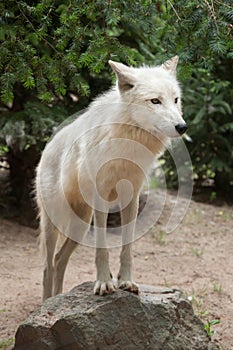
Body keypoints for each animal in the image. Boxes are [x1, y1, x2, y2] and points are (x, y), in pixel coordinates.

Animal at [36, 56, 186, 300]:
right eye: (155, 101)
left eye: (175, 100)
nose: (182, 127)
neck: (128, 143)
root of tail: (47, 146)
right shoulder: (101, 198)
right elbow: (102, 248)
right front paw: (104, 283)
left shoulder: (132, 199)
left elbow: (127, 249)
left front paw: (126, 281)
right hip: (55, 223)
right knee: (47, 266)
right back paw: (46, 302)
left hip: (80, 226)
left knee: (59, 260)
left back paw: (58, 298)